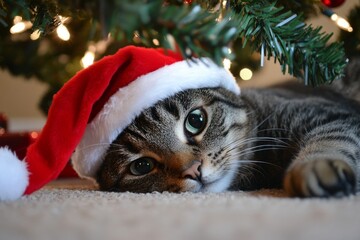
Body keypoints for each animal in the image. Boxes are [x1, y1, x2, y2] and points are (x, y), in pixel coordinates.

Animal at [95, 60, 360, 199]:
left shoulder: (330, 113)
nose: (193, 170)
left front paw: (314, 166)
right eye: (141, 166)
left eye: (196, 120)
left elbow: (332, 137)